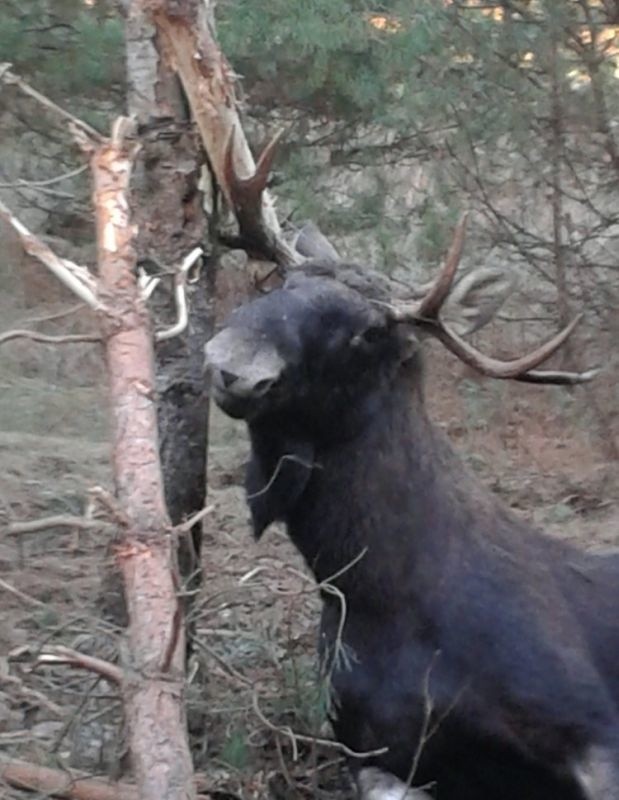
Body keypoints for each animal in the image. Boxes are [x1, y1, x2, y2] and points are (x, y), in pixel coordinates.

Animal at [205, 142, 619, 800]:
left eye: (372, 330)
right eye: (285, 281)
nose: (233, 362)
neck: (386, 604)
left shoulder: (593, 724)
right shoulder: (371, 751)